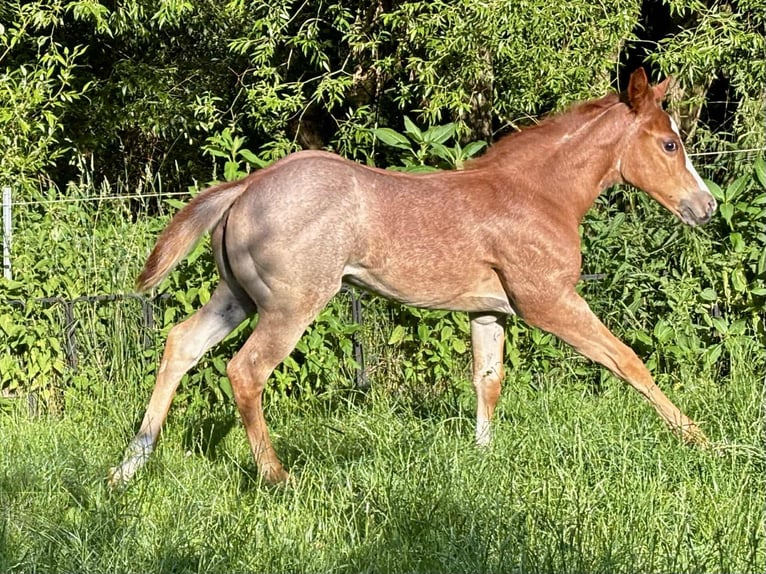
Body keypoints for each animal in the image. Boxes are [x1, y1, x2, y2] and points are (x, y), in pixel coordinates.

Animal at [110, 68, 717, 486]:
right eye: (670, 143)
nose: (706, 207)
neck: (539, 194)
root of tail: (247, 186)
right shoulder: (548, 301)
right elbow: (627, 360)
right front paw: (703, 442)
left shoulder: (489, 310)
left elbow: (488, 380)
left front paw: (482, 458)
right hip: (291, 306)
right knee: (245, 370)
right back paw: (278, 477)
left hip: (238, 296)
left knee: (181, 343)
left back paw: (127, 468)